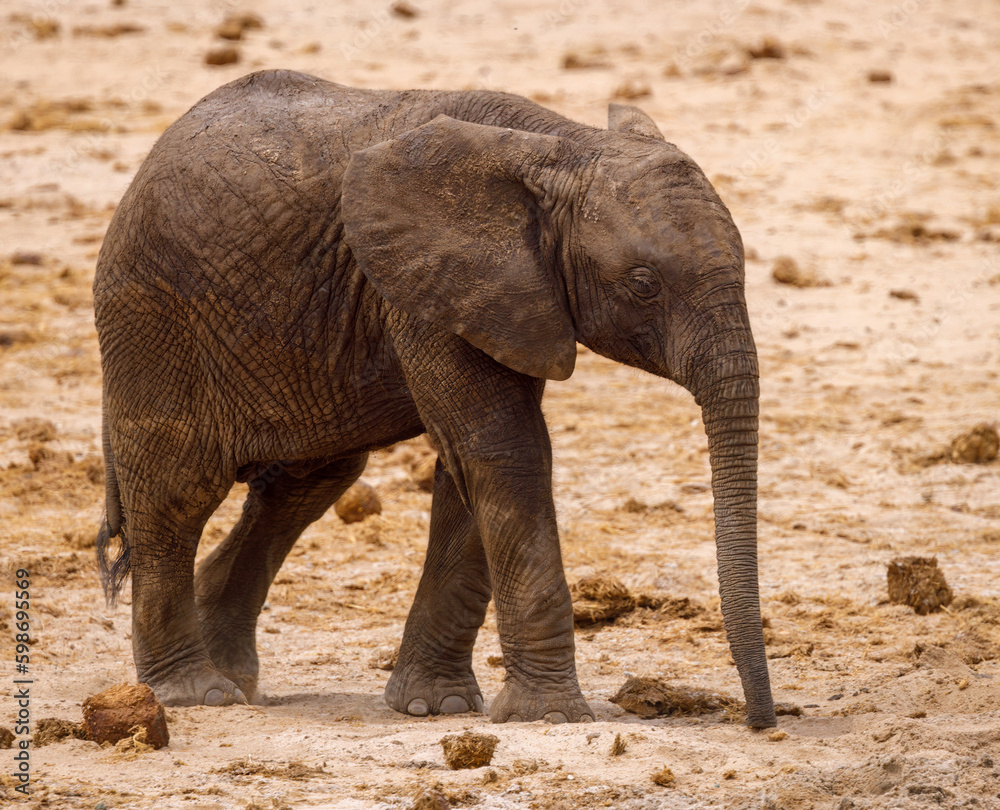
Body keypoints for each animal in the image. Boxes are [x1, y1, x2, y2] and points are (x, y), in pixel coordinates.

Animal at [93, 69, 776, 728]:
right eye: (643, 284)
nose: (760, 722)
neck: (561, 146)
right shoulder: (426, 290)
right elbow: (505, 450)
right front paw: (551, 716)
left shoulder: (500, 296)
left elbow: (476, 464)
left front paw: (433, 707)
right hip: (153, 313)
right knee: (179, 489)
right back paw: (195, 694)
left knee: (304, 485)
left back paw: (236, 681)